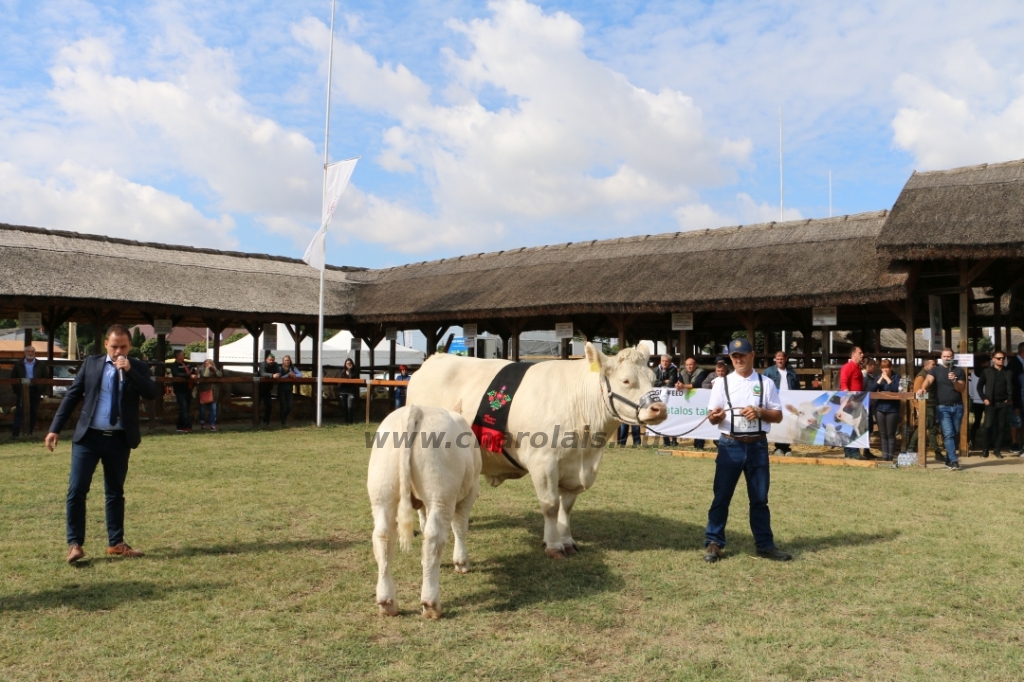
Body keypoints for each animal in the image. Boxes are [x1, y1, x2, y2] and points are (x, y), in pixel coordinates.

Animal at [366, 405, 481, 618]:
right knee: (434, 538)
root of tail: (417, 409)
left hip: (381, 493)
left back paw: (387, 603)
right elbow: (460, 527)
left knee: (383, 537)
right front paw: (461, 562)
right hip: (441, 493)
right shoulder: (470, 491)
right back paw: (431, 604)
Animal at [407, 342, 663, 557]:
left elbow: (566, 506)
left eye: (654, 379)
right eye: (626, 381)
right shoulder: (543, 462)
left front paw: (567, 540)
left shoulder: (575, 467)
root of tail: (434, 358)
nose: (659, 408)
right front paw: (554, 545)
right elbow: (550, 505)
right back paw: (422, 524)